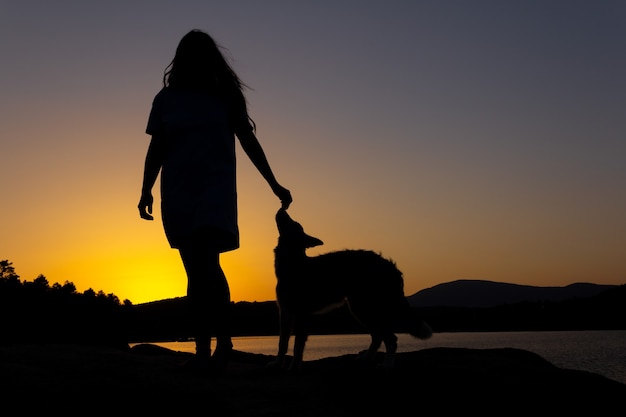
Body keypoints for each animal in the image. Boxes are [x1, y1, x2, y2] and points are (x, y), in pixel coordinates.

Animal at [268, 208, 428, 370]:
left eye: (293, 223)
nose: (283, 211)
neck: (293, 264)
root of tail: (391, 266)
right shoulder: (285, 312)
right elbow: (282, 343)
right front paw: (277, 363)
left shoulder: (302, 314)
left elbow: (297, 345)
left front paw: (294, 366)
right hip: (360, 308)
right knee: (377, 336)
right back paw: (366, 358)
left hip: (365, 308)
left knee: (390, 339)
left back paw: (387, 365)